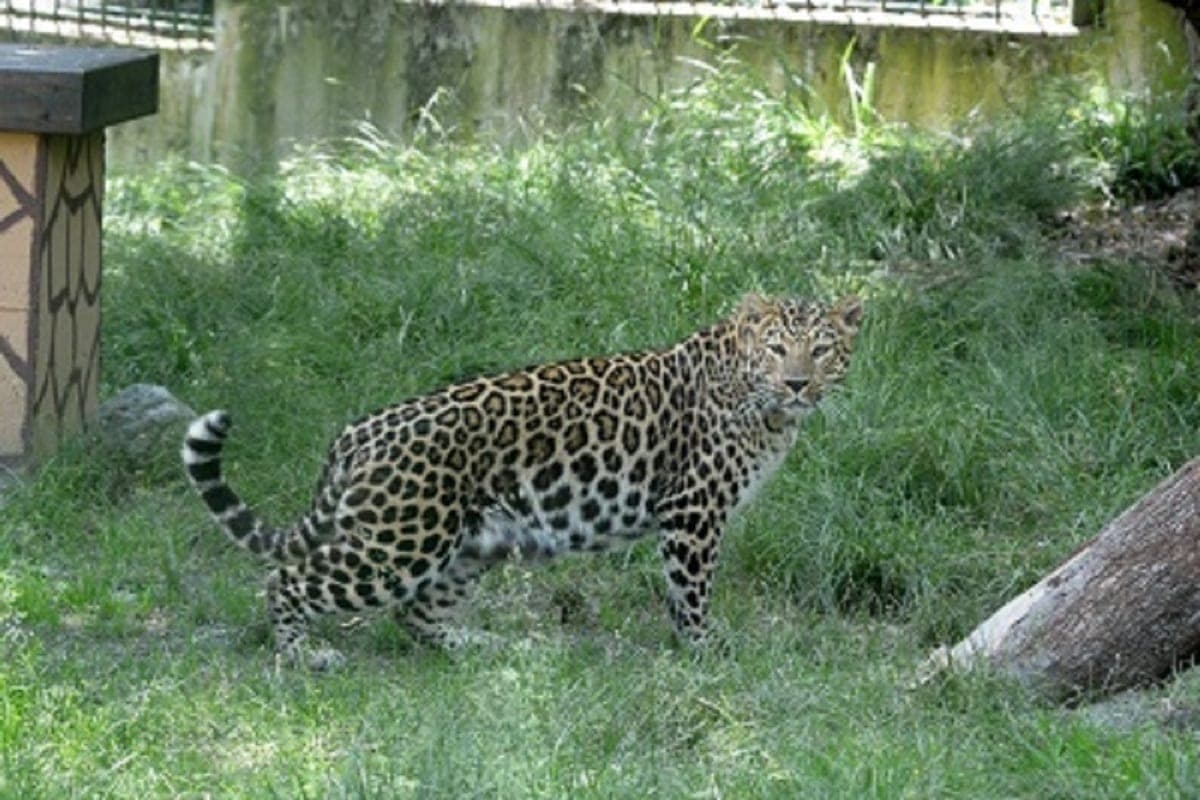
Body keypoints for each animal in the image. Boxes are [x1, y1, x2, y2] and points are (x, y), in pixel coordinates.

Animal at [182, 293, 864, 668]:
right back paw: (302, 654)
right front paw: (705, 650)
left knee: (417, 614)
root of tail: (355, 436)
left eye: (823, 350)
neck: (767, 409)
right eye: (777, 349)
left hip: (471, 543)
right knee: (288, 578)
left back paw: (484, 645)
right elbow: (691, 591)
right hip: (400, 543)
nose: (798, 384)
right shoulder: (693, 511)